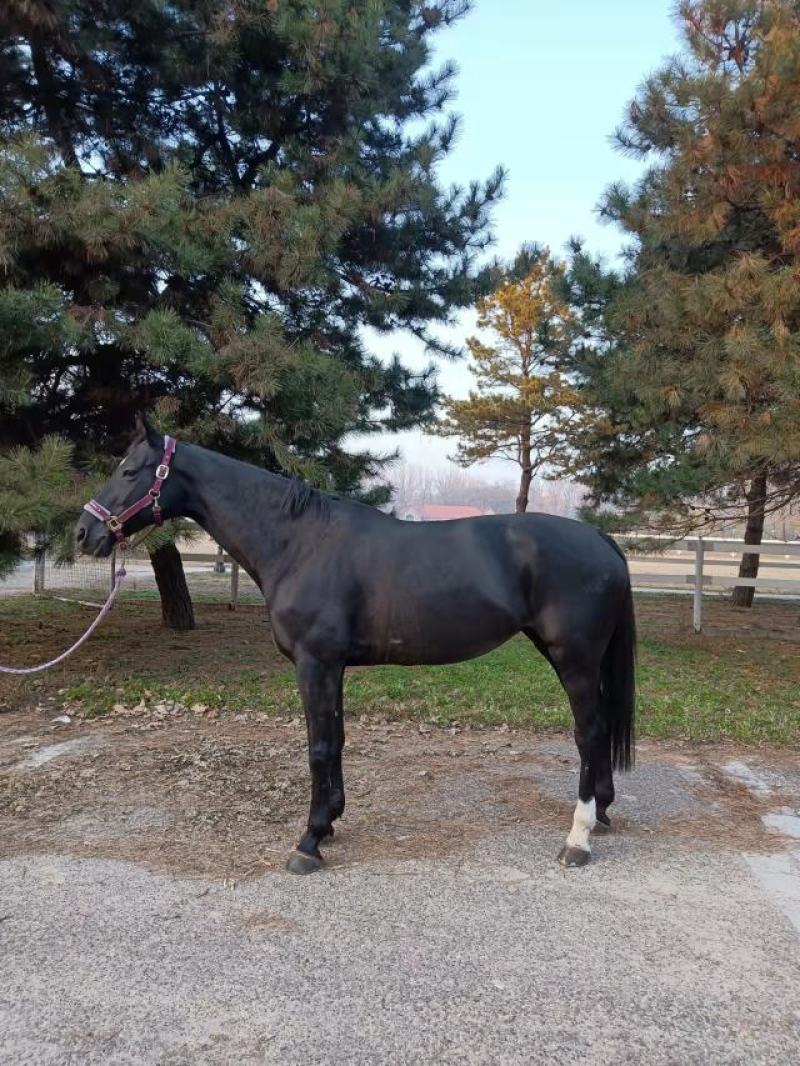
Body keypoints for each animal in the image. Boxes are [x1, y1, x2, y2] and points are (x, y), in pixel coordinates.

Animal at [76, 418, 636, 874]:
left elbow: (319, 747)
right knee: (600, 729)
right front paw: (329, 823)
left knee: (589, 733)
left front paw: (307, 843)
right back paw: (603, 811)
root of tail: (600, 539)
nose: (84, 532)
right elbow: (337, 739)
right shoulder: (333, 667)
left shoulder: (314, 663)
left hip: (573, 658)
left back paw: (578, 839)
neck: (299, 542)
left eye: (130, 470)